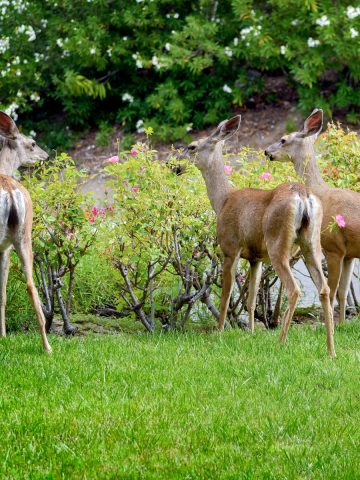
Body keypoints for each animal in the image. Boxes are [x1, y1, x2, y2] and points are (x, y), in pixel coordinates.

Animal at [181, 115, 336, 356]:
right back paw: (331, 350)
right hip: (311, 243)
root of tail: (303, 194)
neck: (222, 200)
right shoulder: (255, 258)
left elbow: (226, 296)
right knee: (325, 288)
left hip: (277, 242)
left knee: (294, 289)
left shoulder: (230, 247)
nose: (175, 165)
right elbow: (252, 298)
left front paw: (218, 333)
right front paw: (252, 333)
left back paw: (281, 343)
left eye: (192, 147)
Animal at [264, 109, 360, 326]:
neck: (322, 193)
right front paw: (342, 324)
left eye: (283, 139)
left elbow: (331, 292)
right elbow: (343, 292)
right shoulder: (349, 253)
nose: (266, 151)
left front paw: (330, 326)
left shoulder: (333, 247)